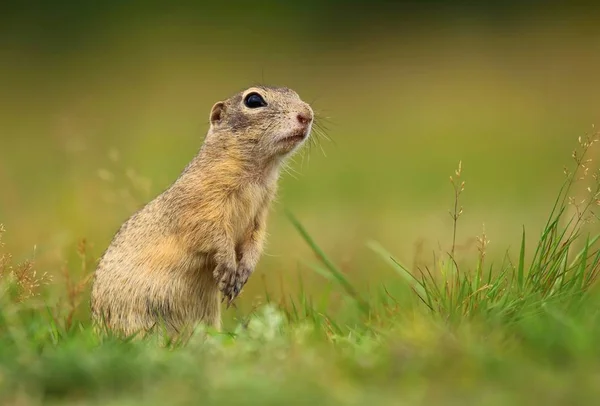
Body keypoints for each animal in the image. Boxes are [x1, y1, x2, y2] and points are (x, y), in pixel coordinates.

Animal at [90, 85, 314, 336]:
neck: (257, 174)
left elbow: (255, 240)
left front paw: (243, 272)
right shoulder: (203, 206)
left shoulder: (259, 215)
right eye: (254, 100)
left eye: (295, 94)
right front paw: (227, 268)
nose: (307, 115)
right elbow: (213, 235)